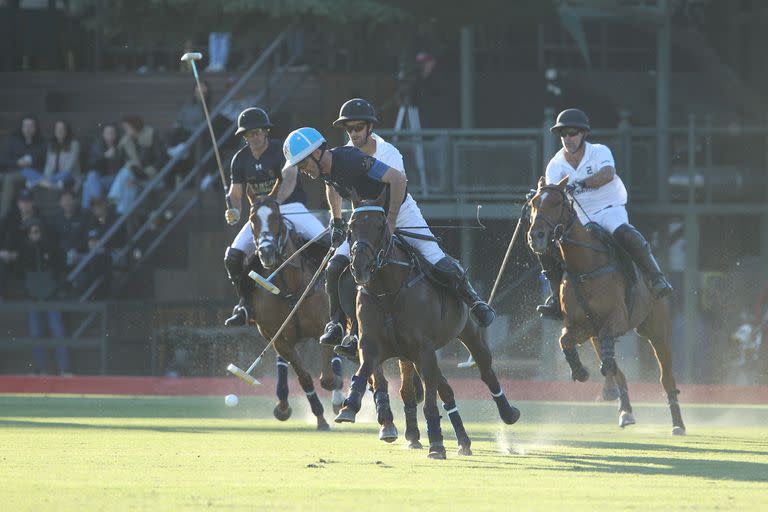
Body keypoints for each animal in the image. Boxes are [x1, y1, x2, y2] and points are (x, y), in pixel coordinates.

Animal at [332, 202, 520, 458]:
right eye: (351, 228)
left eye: (380, 227)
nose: (359, 267)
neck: (387, 290)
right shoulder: (371, 344)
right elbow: (369, 375)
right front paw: (350, 408)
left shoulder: (423, 349)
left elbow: (429, 400)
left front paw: (437, 444)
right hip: (411, 355)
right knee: (440, 389)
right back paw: (461, 440)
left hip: (469, 333)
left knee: (485, 371)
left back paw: (508, 413)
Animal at [528, 178, 684, 434]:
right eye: (533, 202)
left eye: (556, 202)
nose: (536, 236)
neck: (584, 266)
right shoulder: (580, 326)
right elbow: (564, 340)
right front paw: (581, 371)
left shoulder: (616, 320)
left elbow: (609, 351)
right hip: (596, 336)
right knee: (617, 370)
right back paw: (624, 410)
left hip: (658, 329)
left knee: (666, 377)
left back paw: (678, 424)